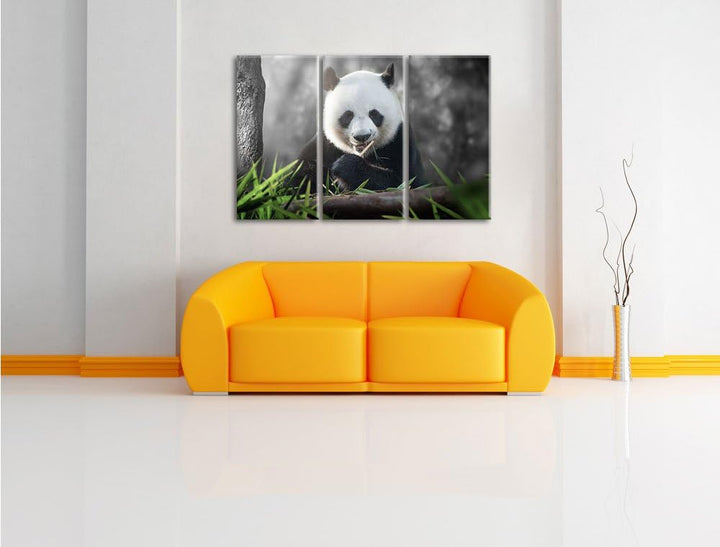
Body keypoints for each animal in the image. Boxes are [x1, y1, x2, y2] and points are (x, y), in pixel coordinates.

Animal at [298, 63, 425, 192]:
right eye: (348, 115)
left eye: (374, 114)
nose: (362, 136)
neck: (363, 153)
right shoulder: (325, 145)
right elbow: (301, 177)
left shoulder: (399, 141)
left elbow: (405, 182)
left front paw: (345, 166)